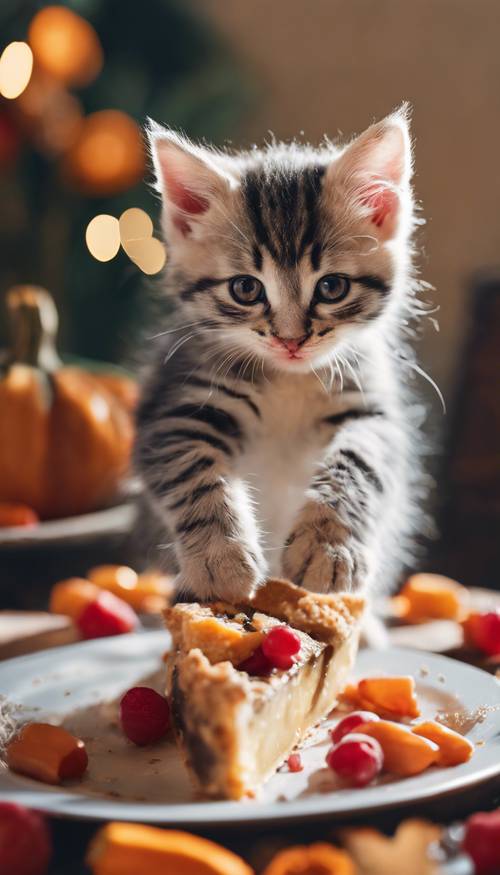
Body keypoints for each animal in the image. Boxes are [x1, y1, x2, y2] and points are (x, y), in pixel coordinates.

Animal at [135, 106, 424, 604]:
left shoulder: (373, 411)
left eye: (332, 287)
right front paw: (222, 559)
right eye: (246, 289)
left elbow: (359, 463)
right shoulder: (172, 408)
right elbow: (193, 470)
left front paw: (328, 546)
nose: (292, 340)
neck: (290, 379)